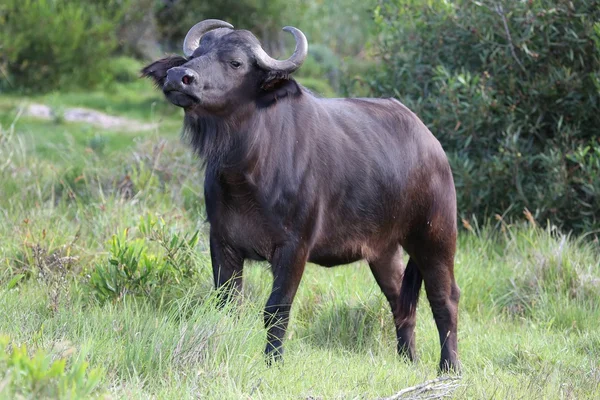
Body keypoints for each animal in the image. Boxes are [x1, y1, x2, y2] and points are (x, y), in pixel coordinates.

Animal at [143, 20, 462, 374]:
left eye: (236, 62)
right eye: (196, 54)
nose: (178, 77)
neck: (246, 169)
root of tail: (432, 145)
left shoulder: (294, 248)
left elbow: (276, 308)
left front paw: (273, 361)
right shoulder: (222, 242)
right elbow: (226, 304)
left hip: (435, 237)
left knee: (445, 298)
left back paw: (449, 367)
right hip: (384, 250)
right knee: (400, 302)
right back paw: (407, 359)